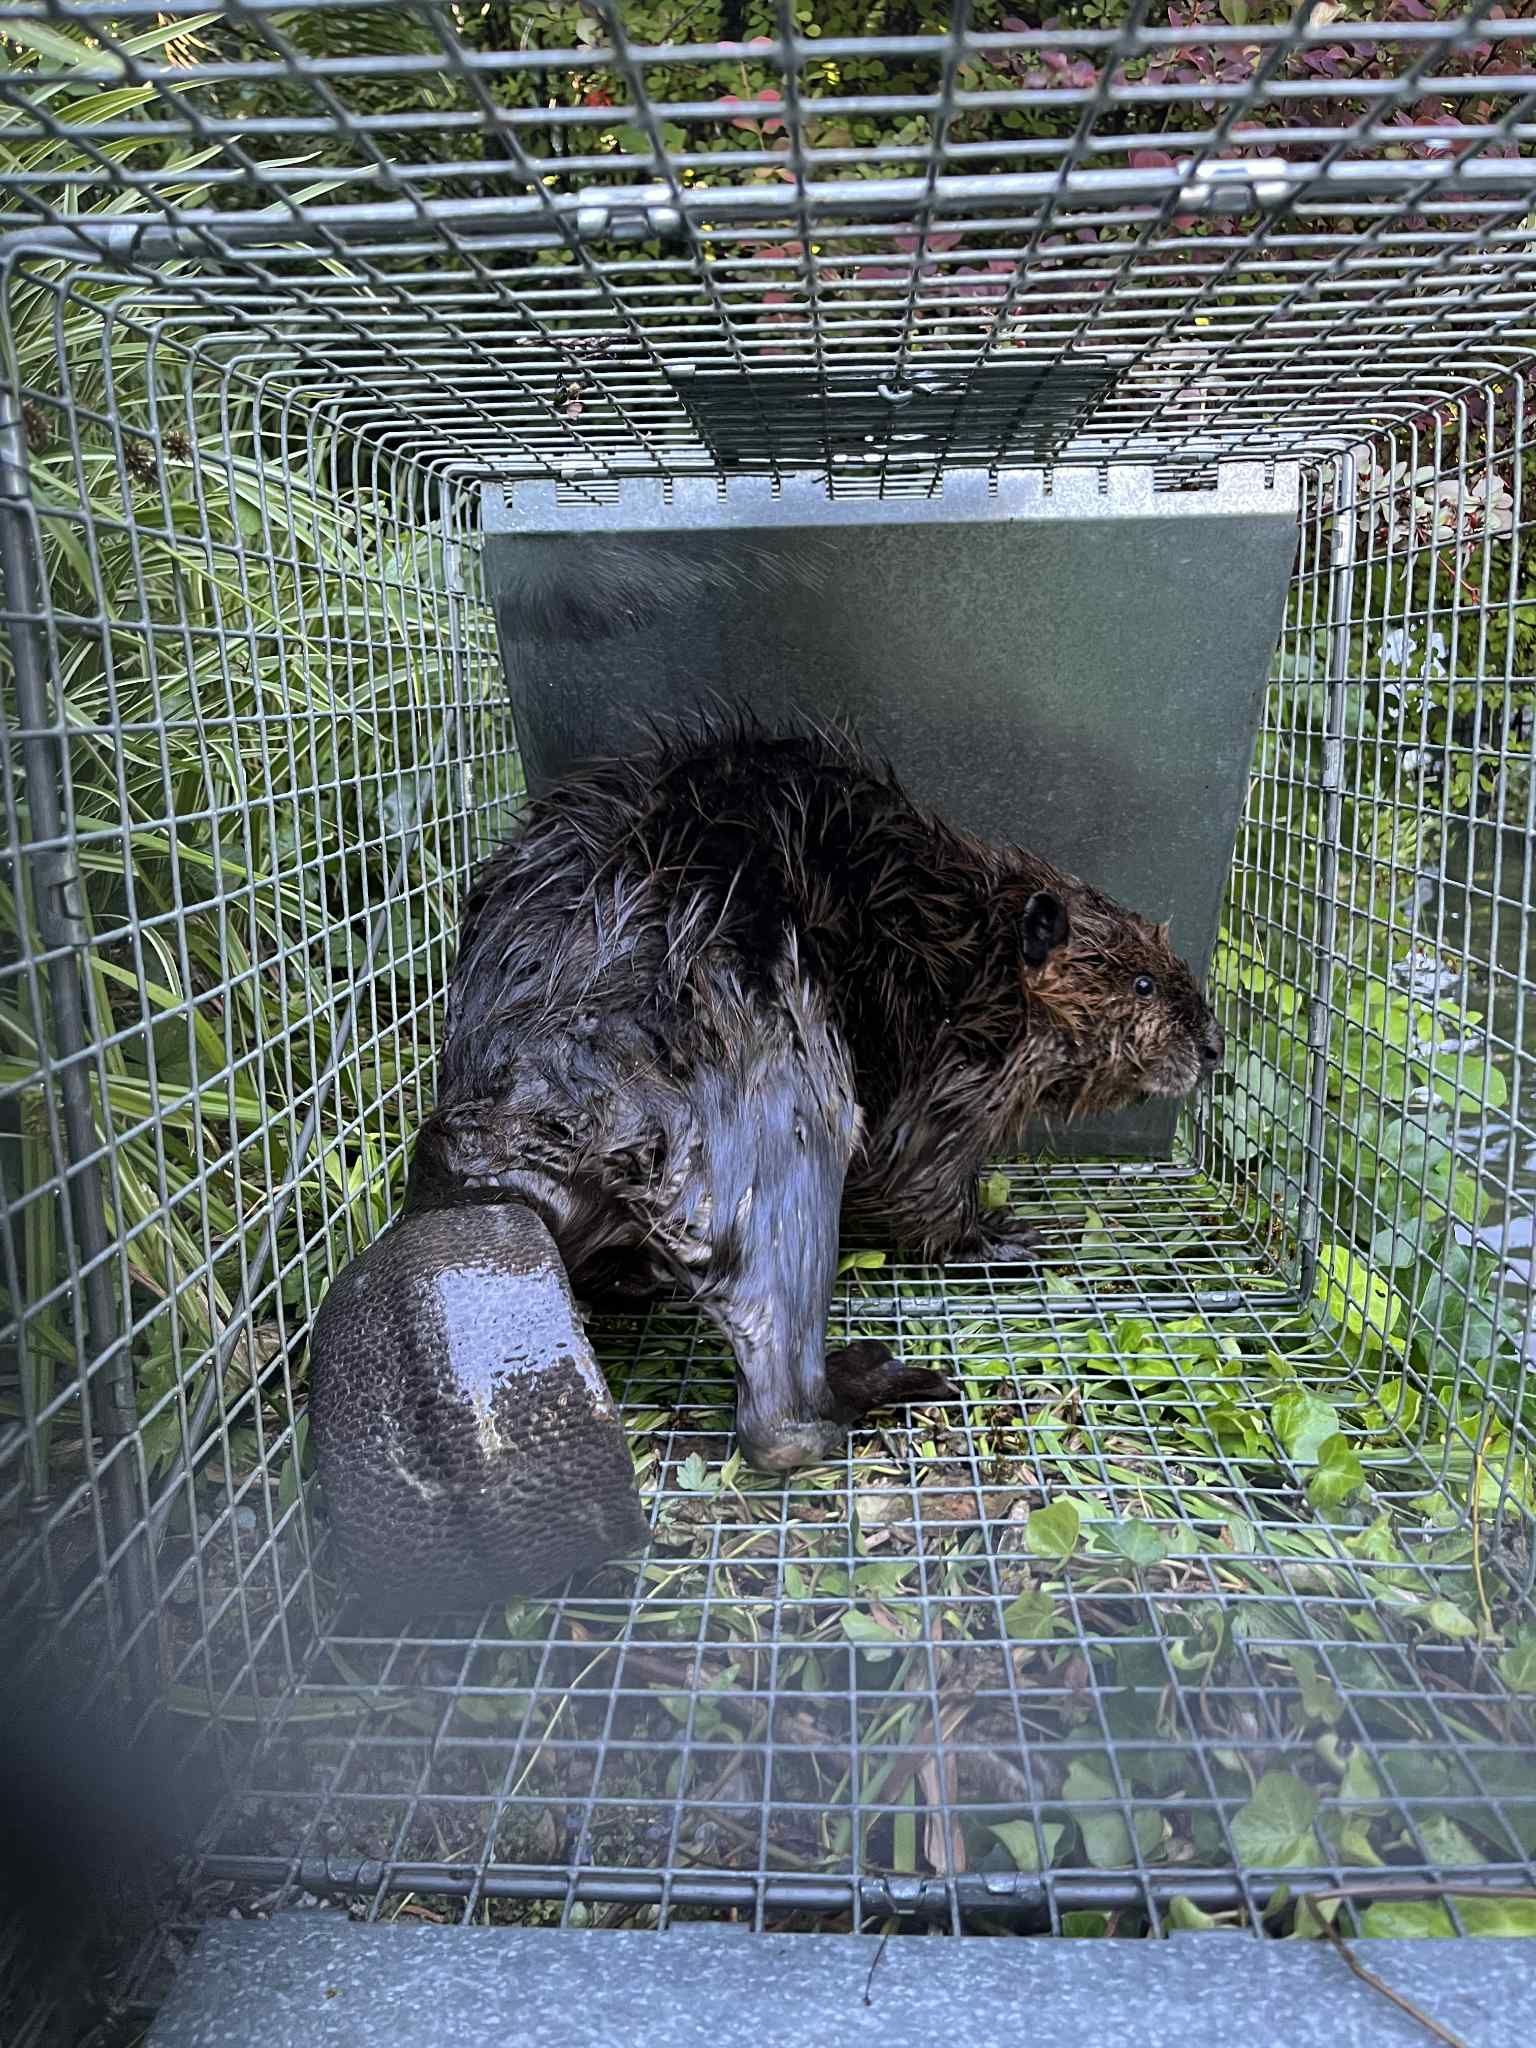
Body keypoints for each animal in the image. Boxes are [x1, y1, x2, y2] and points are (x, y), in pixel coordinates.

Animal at [309, 715, 1223, 1609]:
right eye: (1143, 984)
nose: (1214, 1046)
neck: (970, 949)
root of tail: (502, 1175)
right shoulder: (954, 1070)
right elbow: (917, 1182)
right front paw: (1013, 1234)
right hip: (780, 1099)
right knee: (778, 1421)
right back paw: (885, 1378)